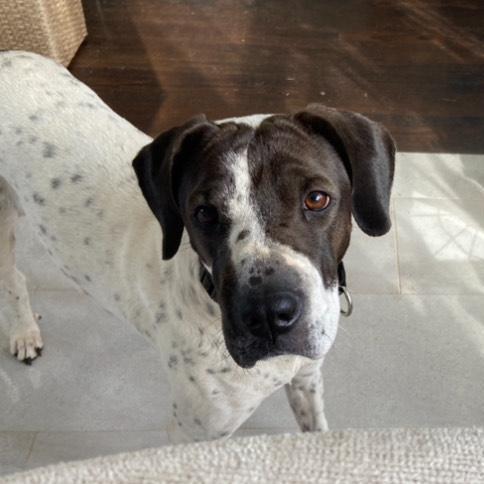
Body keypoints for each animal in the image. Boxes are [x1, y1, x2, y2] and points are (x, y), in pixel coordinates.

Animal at [0, 52, 394, 442]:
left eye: (316, 198)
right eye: (204, 213)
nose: (268, 315)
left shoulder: (307, 379)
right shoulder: (195, 433)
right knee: (13, 279)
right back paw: (24, 333)